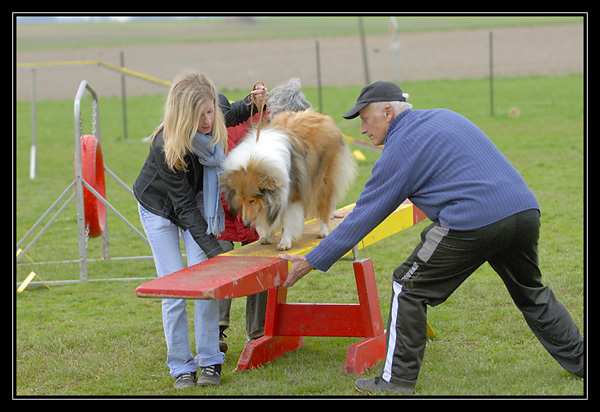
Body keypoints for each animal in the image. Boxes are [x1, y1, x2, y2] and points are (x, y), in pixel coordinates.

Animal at [223, 110, 358, 251]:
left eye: (252, 200)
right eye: (240, 199)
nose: (246, 224)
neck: (256, 159)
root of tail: (324, 117)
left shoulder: (292, 195)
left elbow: (288, 220)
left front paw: (285, 242)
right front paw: (267, 236)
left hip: (323, 181)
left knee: (325, 206)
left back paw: (323, 230)